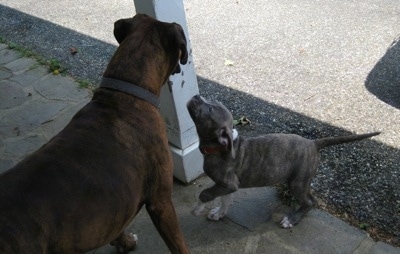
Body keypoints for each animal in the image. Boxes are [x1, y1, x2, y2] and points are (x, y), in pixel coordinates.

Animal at [0, 14, 189, 254]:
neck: (123, 93)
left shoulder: (115, 208)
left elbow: (116, 229)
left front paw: (125, 243)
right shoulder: (160, 201)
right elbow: (179, 245)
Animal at [188, 95, 382, 228]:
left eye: (209, 111)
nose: (196, 96)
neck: (220, 147)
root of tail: (313, 143)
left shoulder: (228, 183)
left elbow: (205, 193)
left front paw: (197, 209)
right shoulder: (227, 185)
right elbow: (225, 199)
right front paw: (219, 213)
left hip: (298, 182)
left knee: (310, 201)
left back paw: (291, 220)